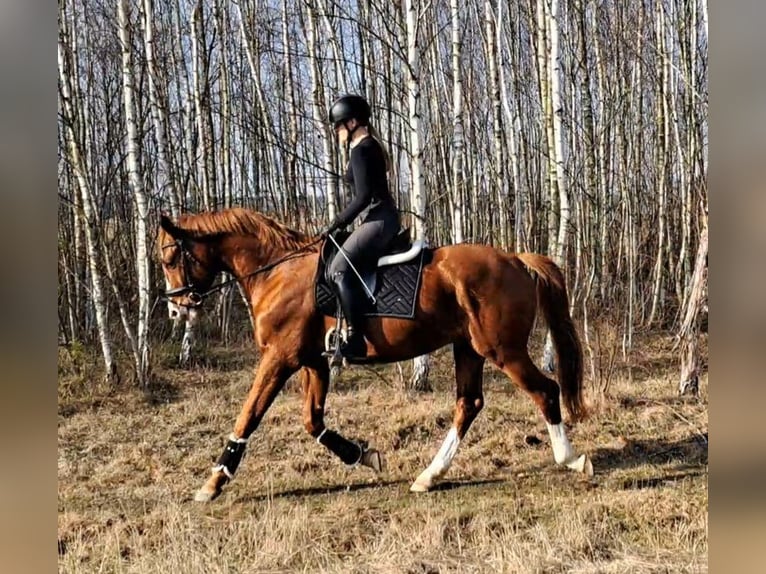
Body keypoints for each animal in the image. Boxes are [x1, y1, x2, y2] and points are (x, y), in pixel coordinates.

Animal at [159, 209, 596, 502]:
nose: (176, 310)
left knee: (545, 391)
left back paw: (572, 459)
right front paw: (364, 455)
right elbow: (313, 421)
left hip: (502, 349)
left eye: (170, 258)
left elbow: (248, 415)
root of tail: (516, 259)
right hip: (468, 348)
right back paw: (429, 476)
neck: (276, 271)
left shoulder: (280, 359)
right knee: (468, 404)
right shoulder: (315, 361)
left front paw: (213, 482)